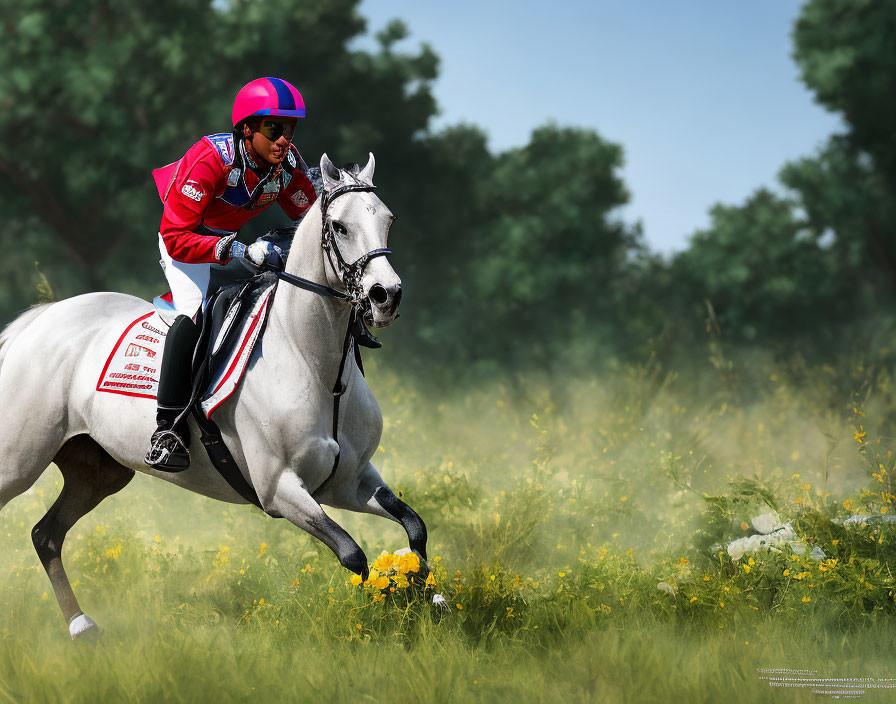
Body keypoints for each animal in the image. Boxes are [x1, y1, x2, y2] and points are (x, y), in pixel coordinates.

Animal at [0, 154, 428, 640]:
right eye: (339, 227)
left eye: (389, 220)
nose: (386, 295)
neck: (316, 365)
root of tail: (38, 321)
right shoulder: (280, 490)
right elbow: (353, 554)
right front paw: (382, 618)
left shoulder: (350, 481)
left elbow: (415, 528)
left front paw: (427, 602)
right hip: (18, 460)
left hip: (97, 471)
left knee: (46, 535)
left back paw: (82, 626)